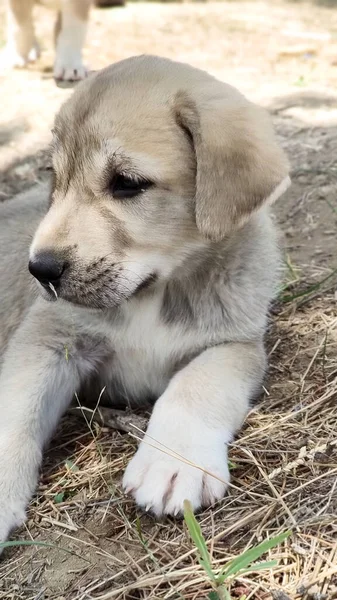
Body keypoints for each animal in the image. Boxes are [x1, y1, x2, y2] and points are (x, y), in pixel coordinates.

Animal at [0, 56, 288, 544]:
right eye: (57, 180)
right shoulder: (49, 337)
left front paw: (173, 459)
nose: (40, 270)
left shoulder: (234, 345)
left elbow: (196, 385)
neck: (154, 294)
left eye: (127, 183)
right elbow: (17, 409)